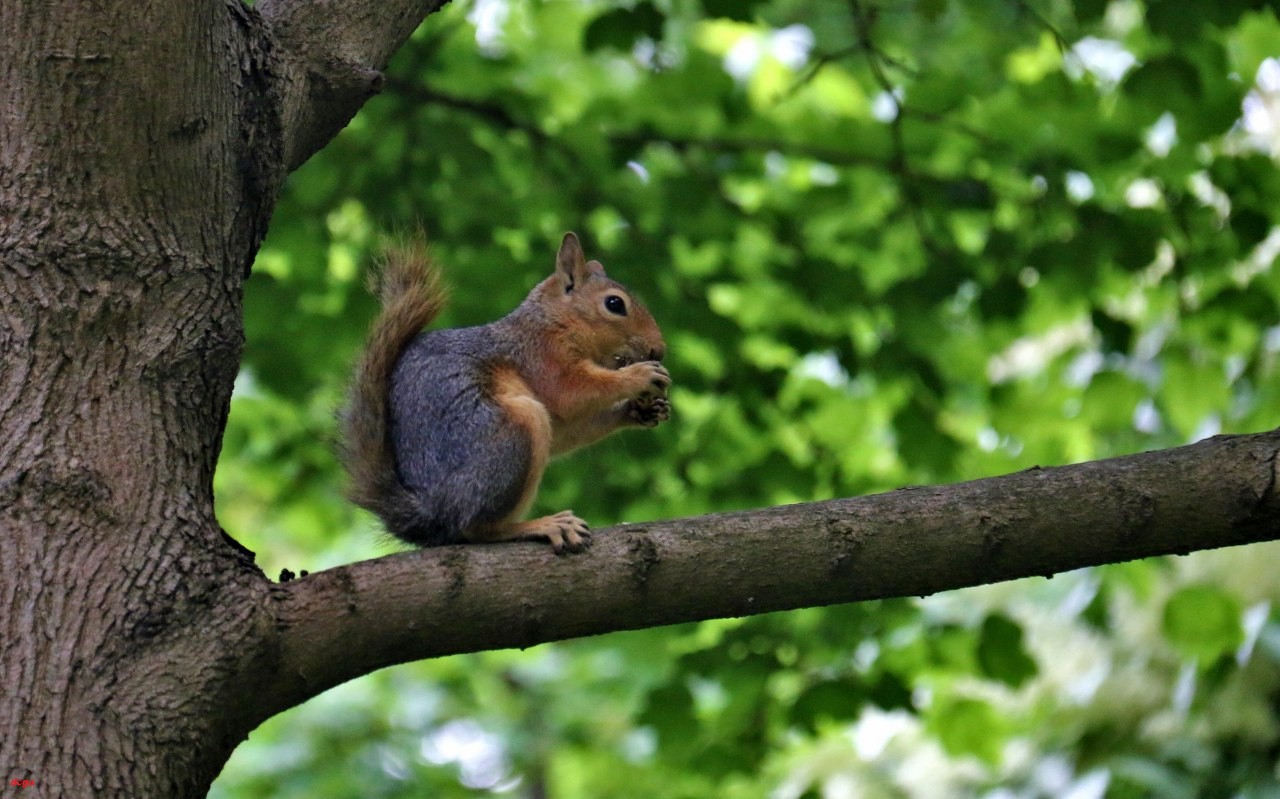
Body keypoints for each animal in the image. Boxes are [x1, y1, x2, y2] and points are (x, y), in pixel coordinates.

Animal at [340, 234, 670, 553]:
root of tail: (432, 511)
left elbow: (567, 431)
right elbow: (572, 392)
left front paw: (640, 410)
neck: (554, 321)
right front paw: (640, 375)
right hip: (514, 433)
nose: (659, 350)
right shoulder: (543, 358)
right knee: (475, 528)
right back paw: (542, 525)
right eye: (614, 303)